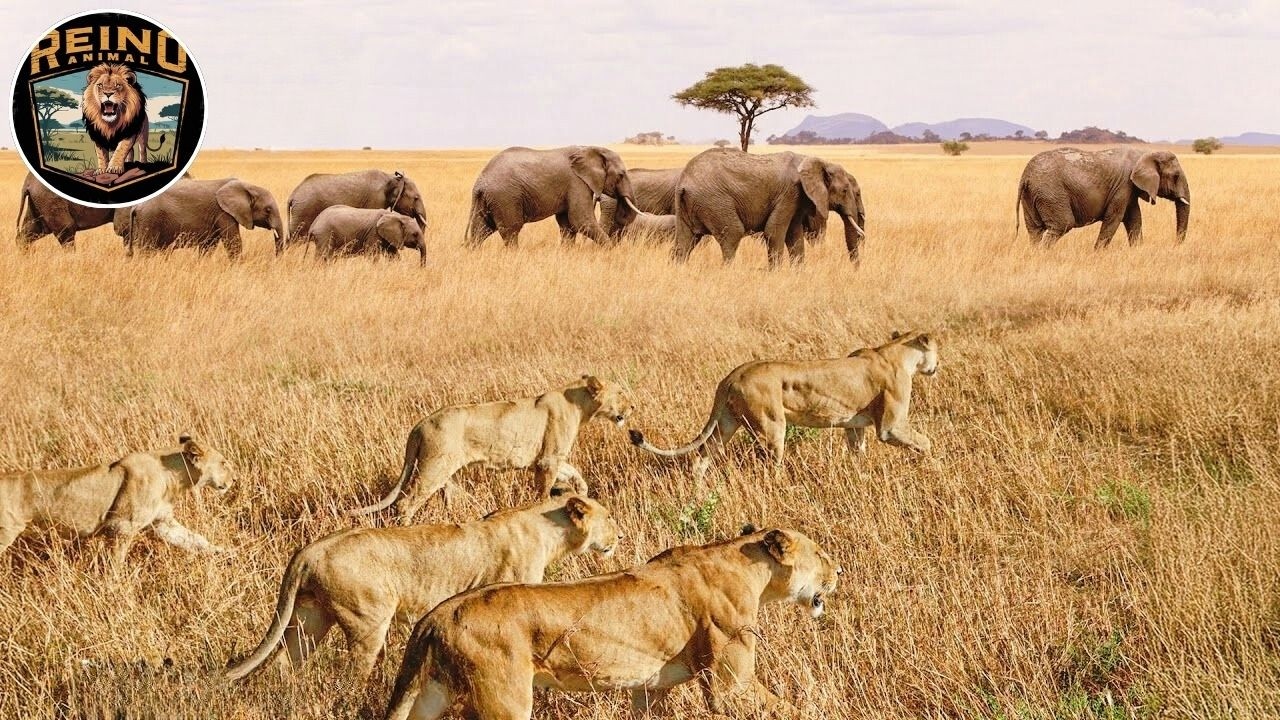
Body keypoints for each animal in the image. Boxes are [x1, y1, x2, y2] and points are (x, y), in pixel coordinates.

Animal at [116, 178, 284, 259]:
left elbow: (208, 246)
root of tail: (136, 207)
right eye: (268, 210)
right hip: (149, 221)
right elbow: (233, 242)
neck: (246, 185)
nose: (276, 260)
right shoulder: (223, 213)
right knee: (146, 250)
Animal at [287, 169, 427, 245]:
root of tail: (293, 195)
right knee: (295, 238)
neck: (392, 178)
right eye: (416, 198)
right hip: (303, 211)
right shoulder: (375, 199)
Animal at [465, 146, 642, 247]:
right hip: (505, 197)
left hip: (489, 199)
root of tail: (479, 183)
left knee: (481, 230)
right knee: (510, 231)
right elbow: (581, 220)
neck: (592, 148)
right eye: (621, 175)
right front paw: (611, 251)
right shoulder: (576, 182)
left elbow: (568, 224)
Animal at [673, 149, 866, 267]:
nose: (855, 270)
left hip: (687, 205)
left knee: (685, 241)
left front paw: (799, 274)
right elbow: (774, 232)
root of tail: (684, 182)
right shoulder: (789, 194)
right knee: (732, 234)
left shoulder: (798, 200)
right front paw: (776, 274)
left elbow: (795, 236)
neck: (819, 161)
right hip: (715, 201)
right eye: (845, 191)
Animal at [1016, 147, 1190, 248]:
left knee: (1035, 230)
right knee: (1062, 225)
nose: (1175, 246)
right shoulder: (1123, 185)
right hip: (1050, 193)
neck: (1145, 153)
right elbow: (1114, 218)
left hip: (1033, 195)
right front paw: (1097, 253)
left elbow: (1134, 218)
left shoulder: (1128, 189)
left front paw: (1138, 251)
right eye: (1175, 176)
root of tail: (1025, 176)